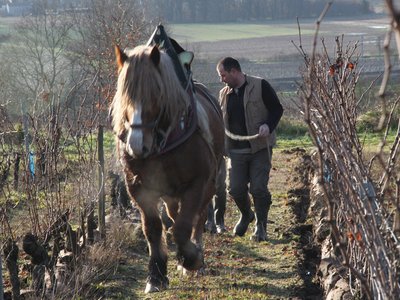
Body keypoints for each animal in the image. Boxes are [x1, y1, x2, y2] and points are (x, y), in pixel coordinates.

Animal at [109, 43, 225, 292]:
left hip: (209, 184)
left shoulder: (197, 183)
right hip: (171, 193)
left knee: (198, 218)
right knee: (174, 214)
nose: (136, 144)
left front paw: (192, 258)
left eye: (156, 93)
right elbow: (153, 228)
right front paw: (156, 275)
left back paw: (195, 256)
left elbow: (184, 227)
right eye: (124, 95)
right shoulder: (140, 189)